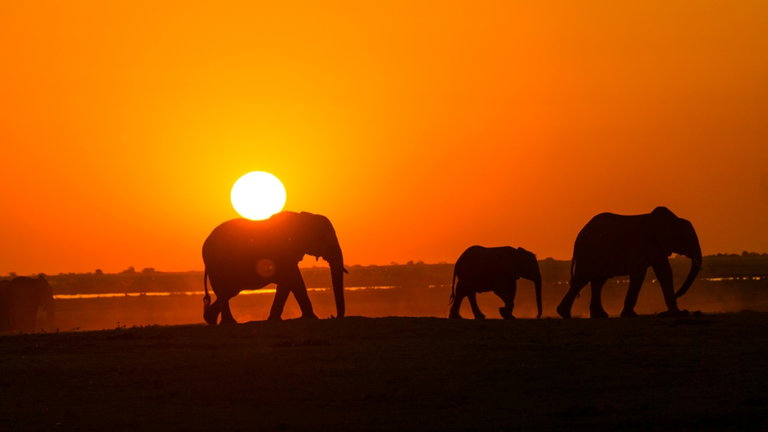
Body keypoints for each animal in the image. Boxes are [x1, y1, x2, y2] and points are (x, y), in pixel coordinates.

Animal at [202, 211, 346, 324]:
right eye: (327, 239)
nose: (333, 316)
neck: (304, 218)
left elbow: (287, 283)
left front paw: (273, 319)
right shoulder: (281, 252)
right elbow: (294, 279)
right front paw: (312, 318)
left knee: (229, 292)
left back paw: (211, 320)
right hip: (216, 265)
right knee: (225, 292)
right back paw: (229, 322)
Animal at [557, 206, 702, 319]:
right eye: (688, 239)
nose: (677, 294)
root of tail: (579, 235)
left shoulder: (658, 247)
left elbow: (665, 273)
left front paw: (677, 313)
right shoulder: (642, 245)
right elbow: (639, 274)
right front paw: (630, 315)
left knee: (598, 281)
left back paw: (600, 315)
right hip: (589, 252)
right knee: (582, 279)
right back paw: (565, 314)